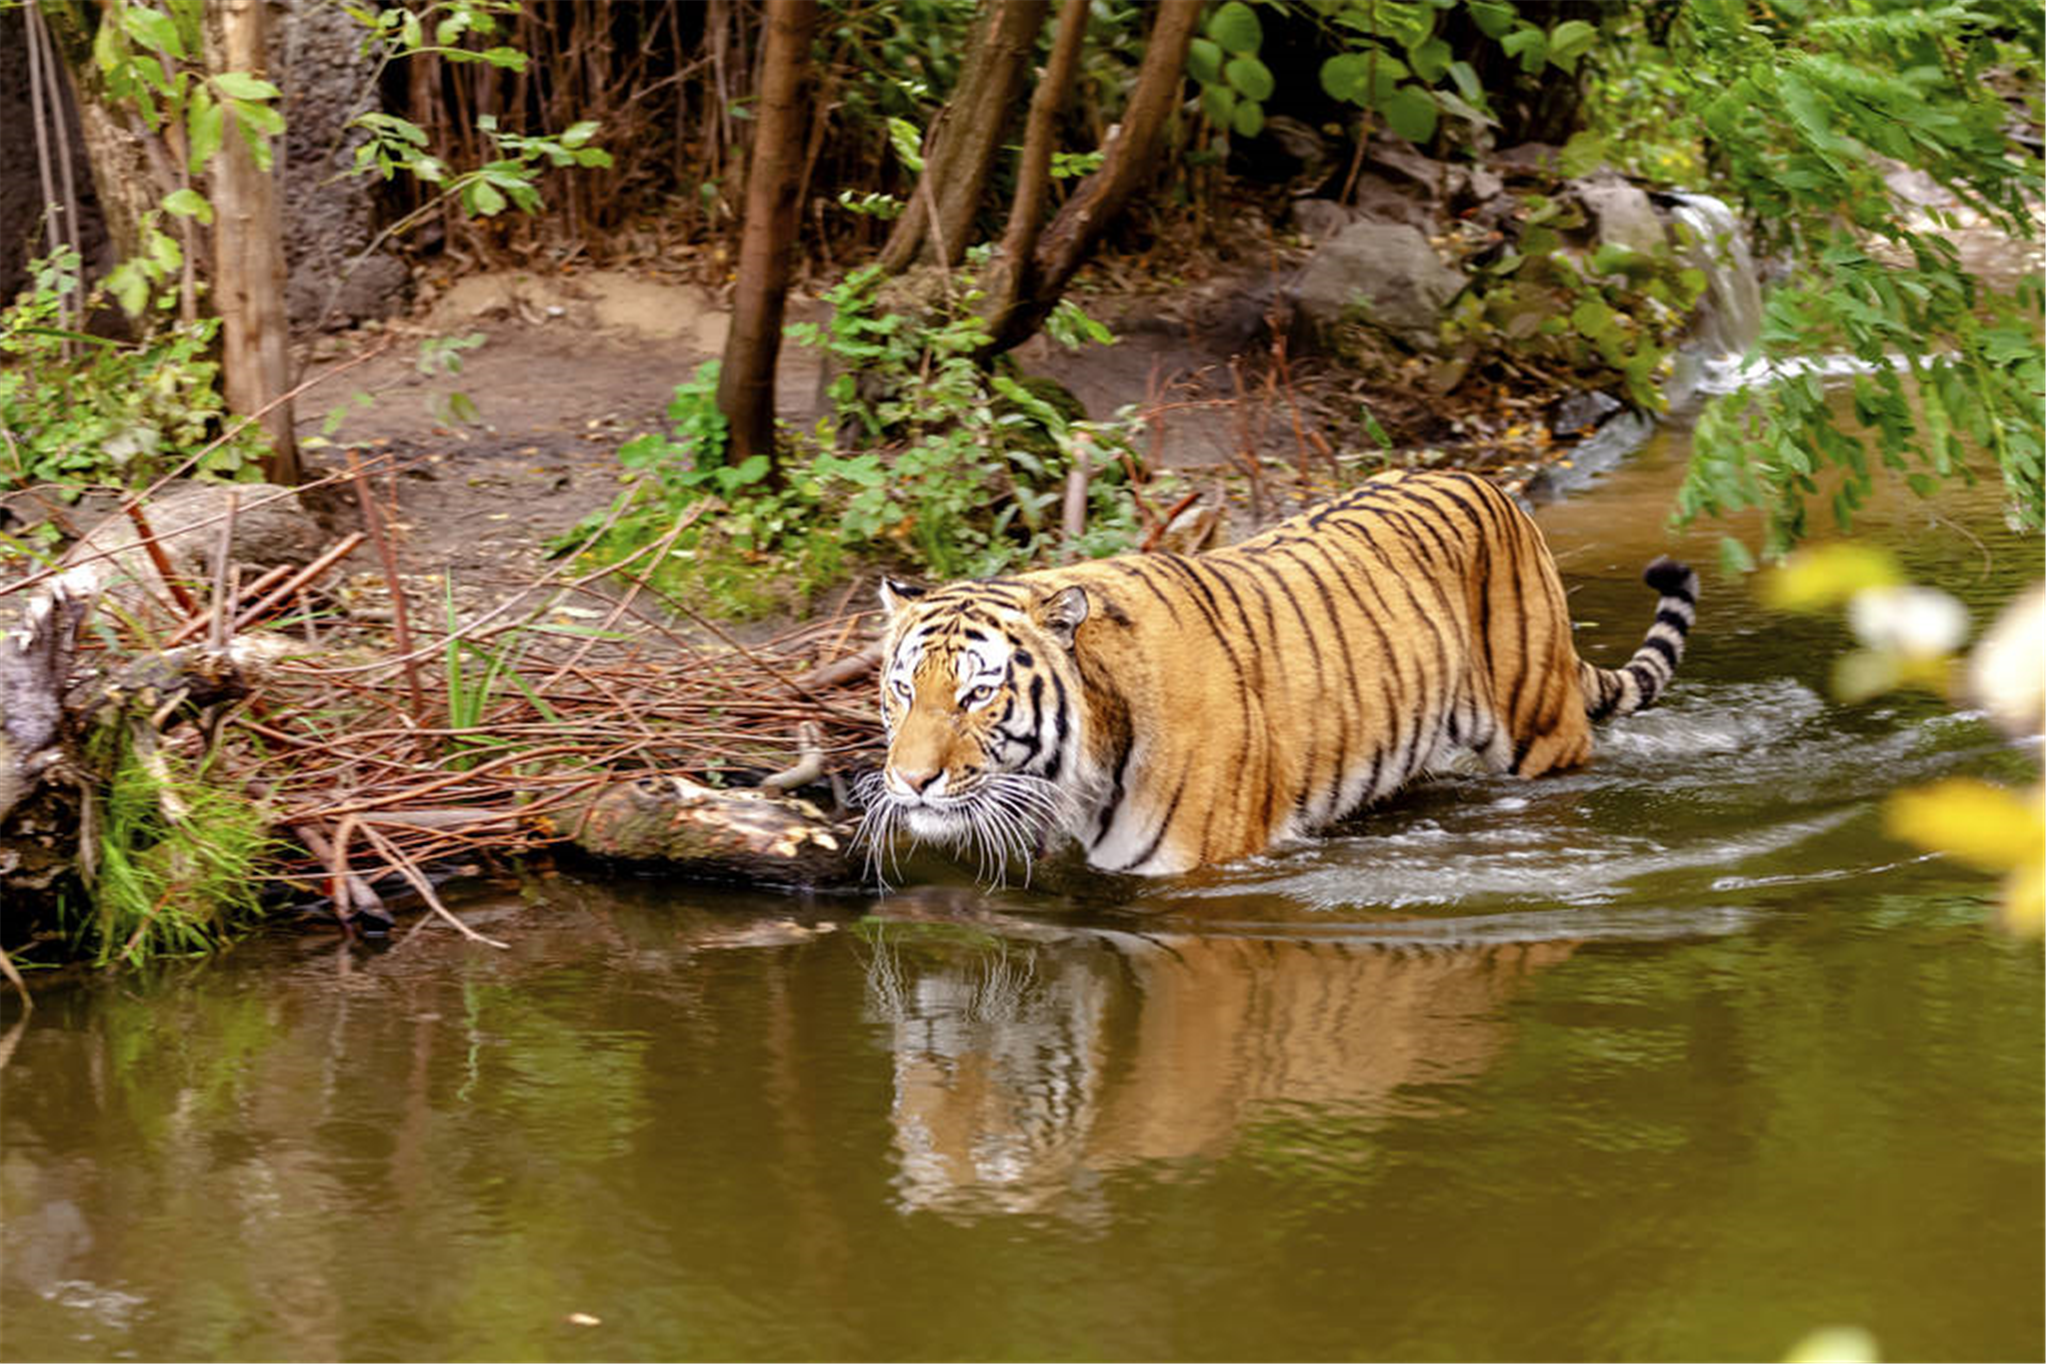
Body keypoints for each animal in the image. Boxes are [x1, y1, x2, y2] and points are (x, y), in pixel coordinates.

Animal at [863, 464, 1694, 879]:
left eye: (977, 695)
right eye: (902, 690)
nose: (910, 782)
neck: (1083, 766)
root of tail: (1491, 483)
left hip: (1542, 733)